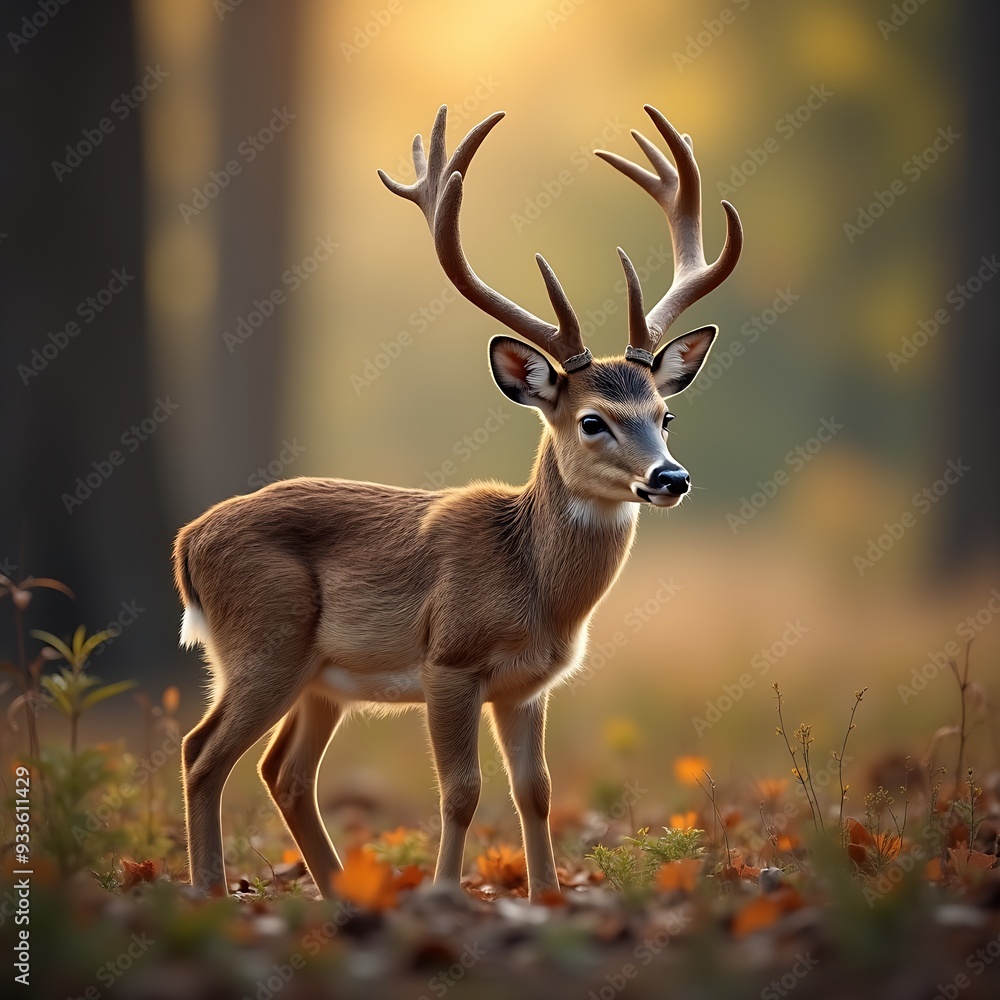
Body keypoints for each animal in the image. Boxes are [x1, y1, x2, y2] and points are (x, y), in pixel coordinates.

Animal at [173, 104, 742, 903]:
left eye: (665, 414)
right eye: (591, 420)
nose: (671, 478)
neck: (533, 586)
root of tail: (186, 542)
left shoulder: (528, 686)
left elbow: (536, 791)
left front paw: (546, 896)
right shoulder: (450, 659)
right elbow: (462, 791)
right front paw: (444, 895)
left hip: (319, 679)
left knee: (283, 772)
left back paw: (341, 893)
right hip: (263, 641)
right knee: (202, 753)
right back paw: (211, 893)